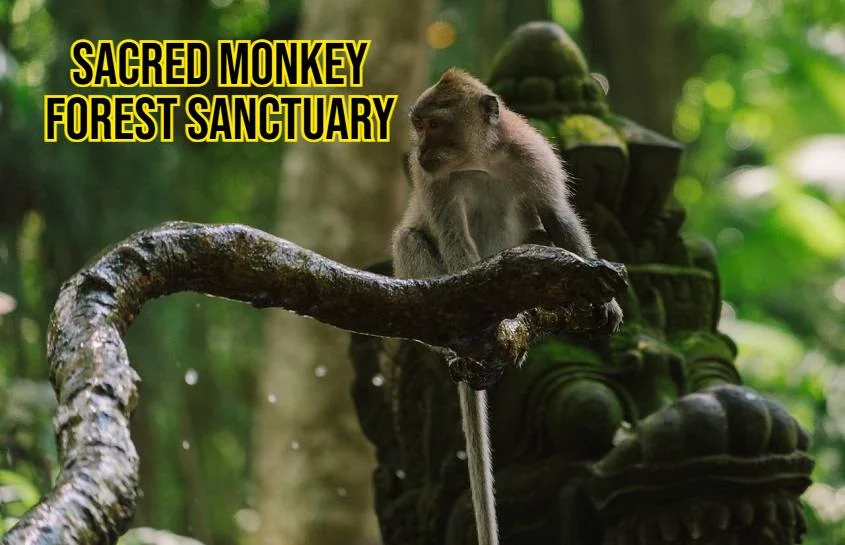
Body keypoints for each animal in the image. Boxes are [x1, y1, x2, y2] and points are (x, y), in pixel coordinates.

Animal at [391, 68, 623, 545]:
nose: (420, 150)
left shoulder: (533, 157)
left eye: (433, 124)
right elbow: (452, 237)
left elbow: (556, 216)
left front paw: (603, 296)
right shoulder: (433, 181)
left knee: (537, 234)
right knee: (410, 239)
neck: (481, 160)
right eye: (419, 126)